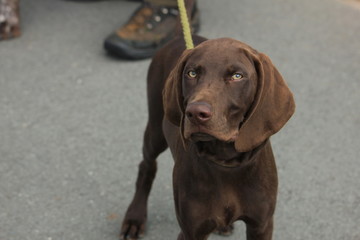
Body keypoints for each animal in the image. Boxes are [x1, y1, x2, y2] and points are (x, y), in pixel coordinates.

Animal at [120, 35, 296, 240]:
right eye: (192, 73)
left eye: (237, 76)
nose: (195, 113)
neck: (225, 161)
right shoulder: (191, 231)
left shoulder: (261, 225)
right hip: (155, 130)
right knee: (146, 166)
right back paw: (135, 217)